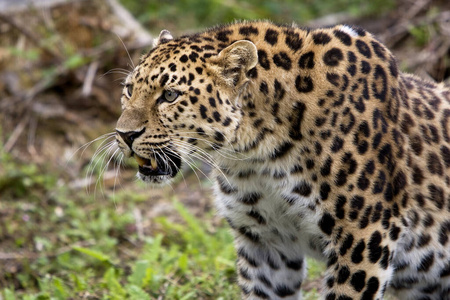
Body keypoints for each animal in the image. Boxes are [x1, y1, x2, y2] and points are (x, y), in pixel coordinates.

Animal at [113, 19, 450, 298]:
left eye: (169, 96)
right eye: (128, 90)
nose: (124, 134)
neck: (255, 156)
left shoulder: (364, 237)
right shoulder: (264, 243)